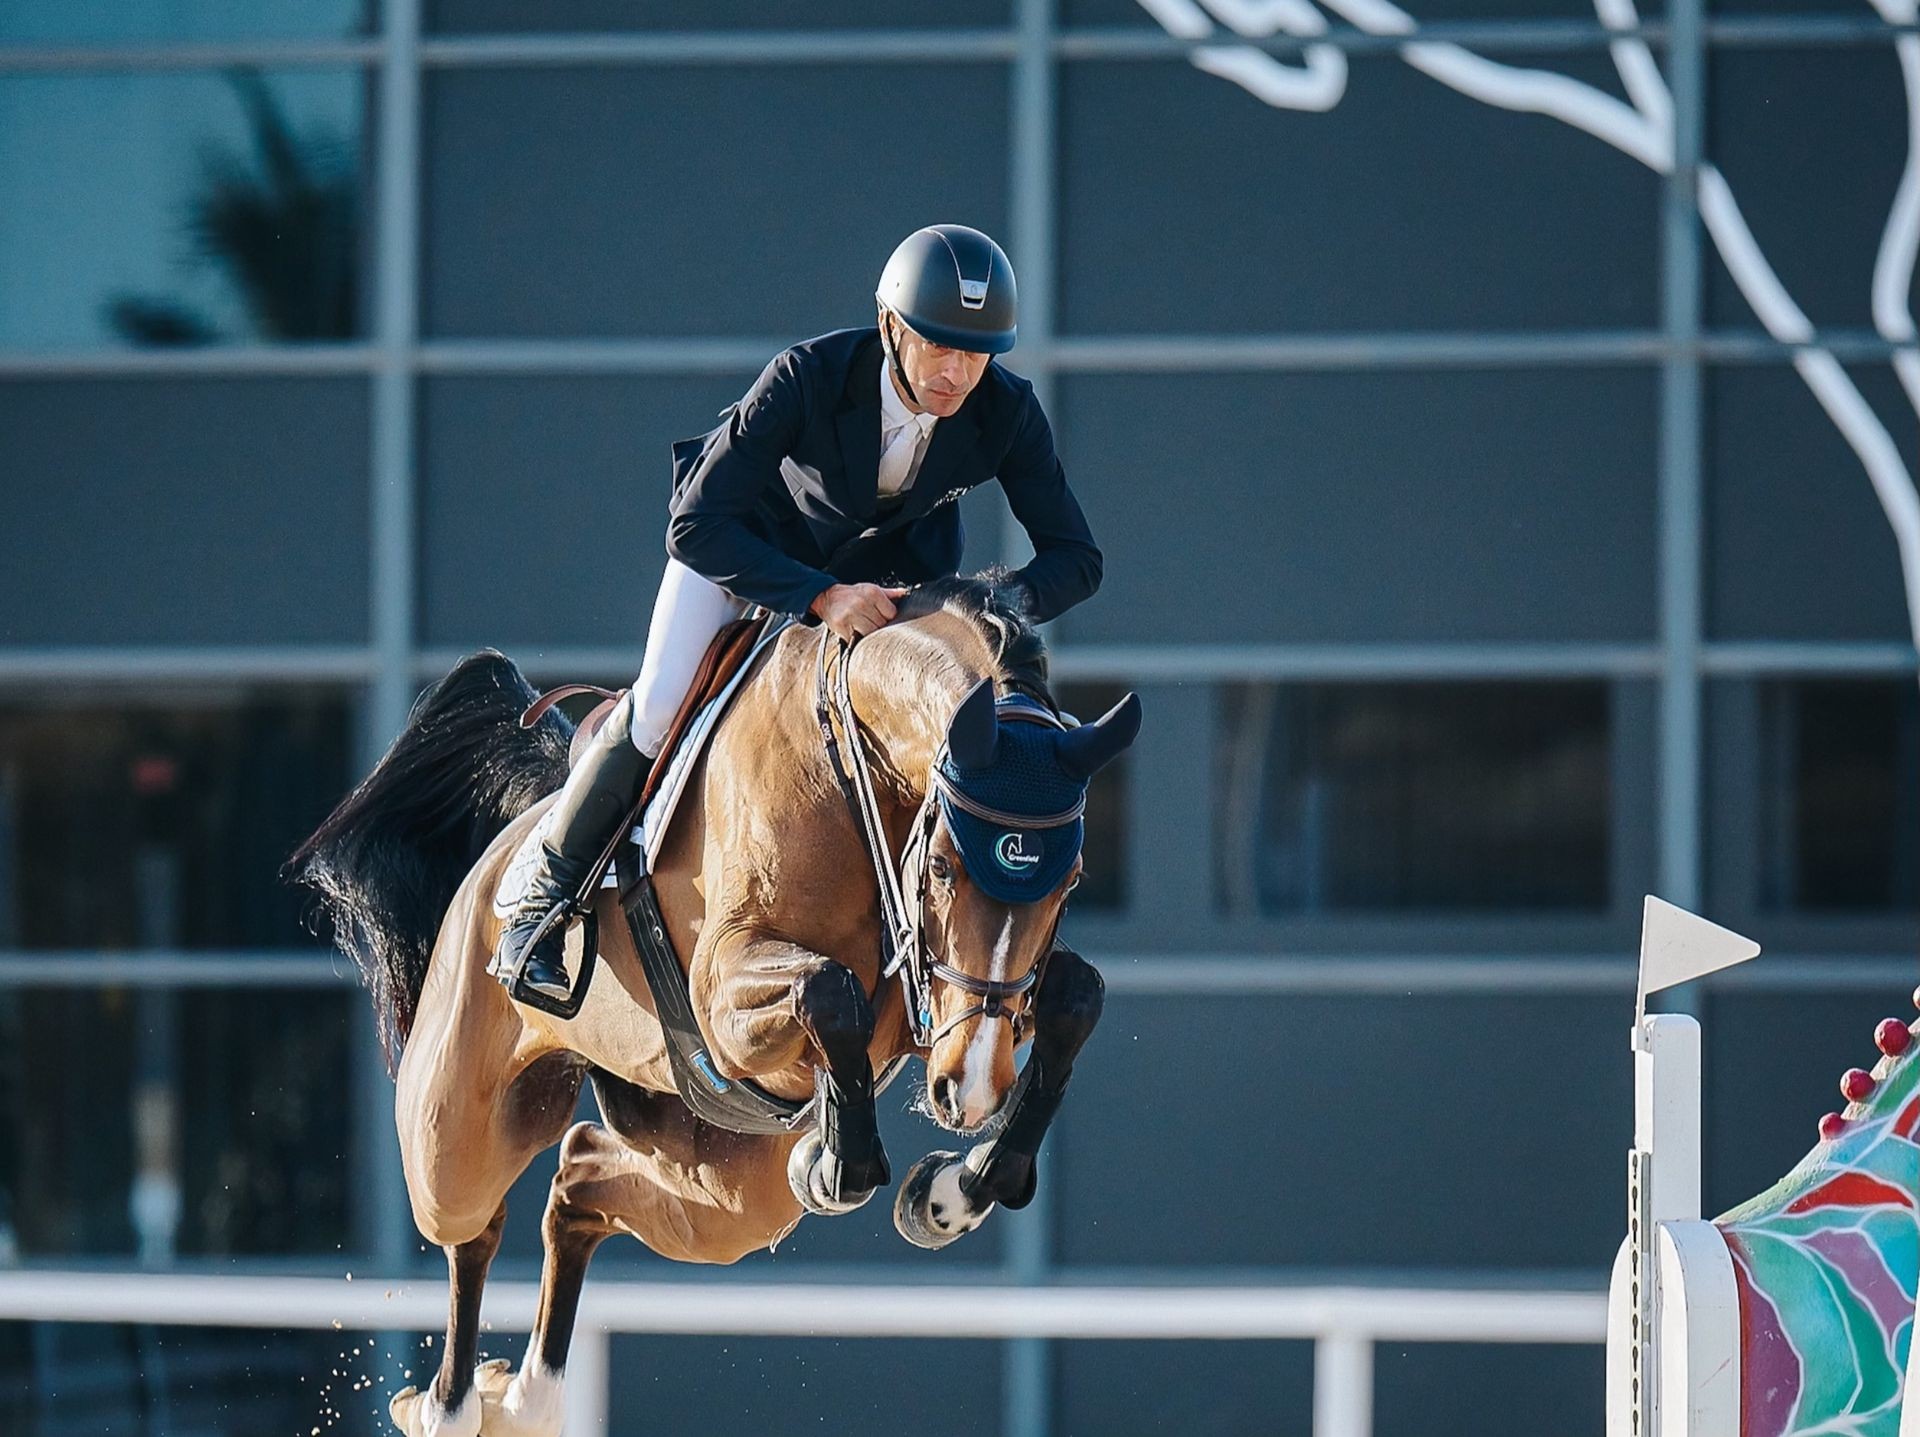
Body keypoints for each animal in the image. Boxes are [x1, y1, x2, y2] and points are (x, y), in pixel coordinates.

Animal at [284, 576, 1136, 1437]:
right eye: (940, 867)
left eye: (1070, 879)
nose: (969, 1093)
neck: (856, 771)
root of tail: (513, 839)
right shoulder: (730, 997)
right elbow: (829, 991)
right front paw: (842, 1164)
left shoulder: (950, 1003)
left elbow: (1075, 998)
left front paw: (954, 1189)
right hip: (458, 1116)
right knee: (472, 1219)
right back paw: (451, 1406)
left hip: (722, 1186)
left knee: (581, 1176)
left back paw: (531, 1396)